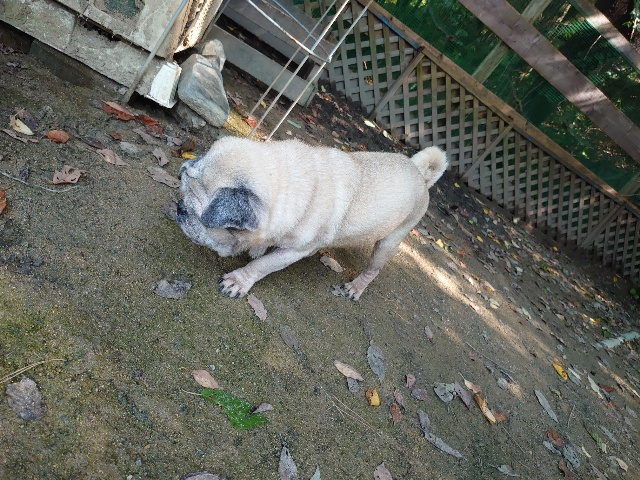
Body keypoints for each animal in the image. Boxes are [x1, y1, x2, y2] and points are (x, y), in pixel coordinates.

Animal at [176, 136, 447, 300]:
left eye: (194, 213)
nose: (178, 208)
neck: (287, 180)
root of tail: (420, 174)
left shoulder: (293, 252)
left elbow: (262, 266)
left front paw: (239, 280)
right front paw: (256, 249)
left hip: (389, 242)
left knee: (373, 269)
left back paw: (355, 288)